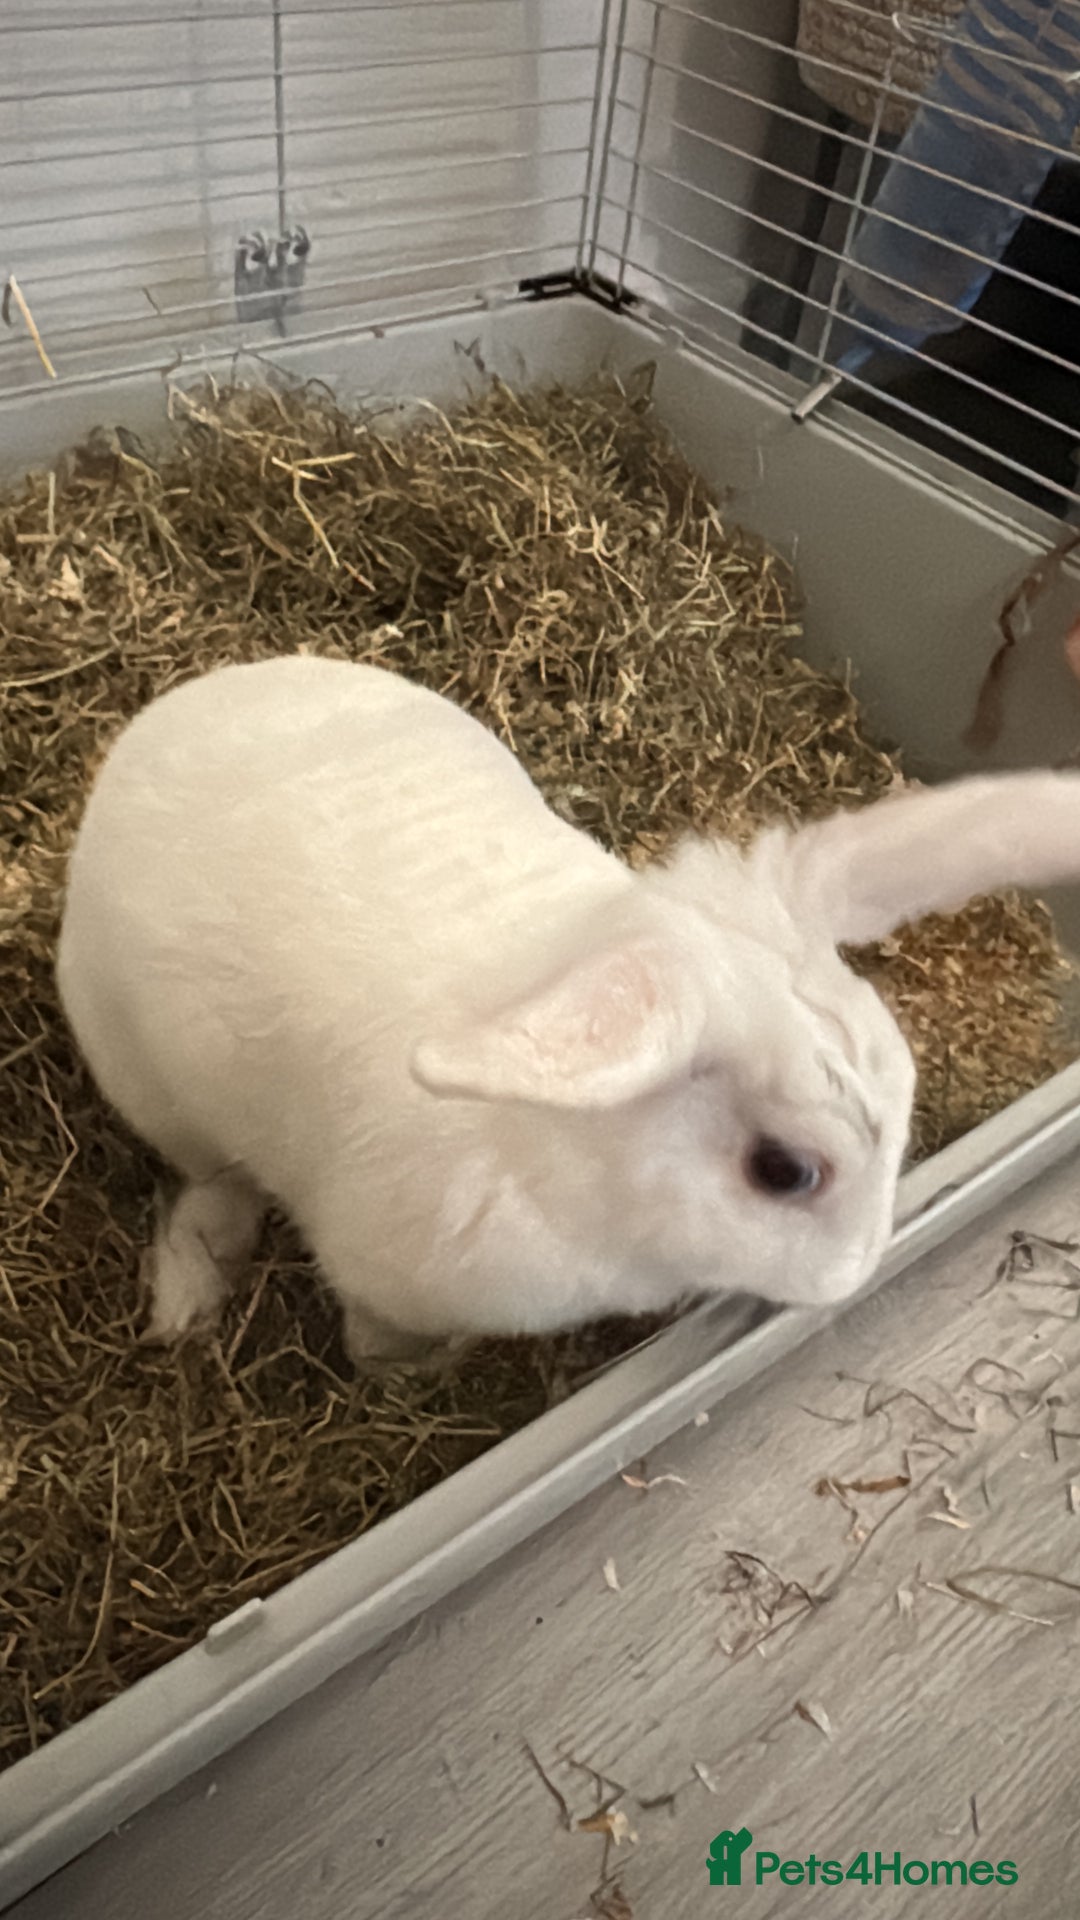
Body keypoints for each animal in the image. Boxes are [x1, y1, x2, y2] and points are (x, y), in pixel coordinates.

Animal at [55, 653, 1080, 1363]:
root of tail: (161, 721)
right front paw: (412, 1370)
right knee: (212, 1179)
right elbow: (376, 1340)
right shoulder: (381, 1279)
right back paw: (192, 1295)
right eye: (783, 1172)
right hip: (154, 1088)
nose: (852, 1276)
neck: (578, 1170)